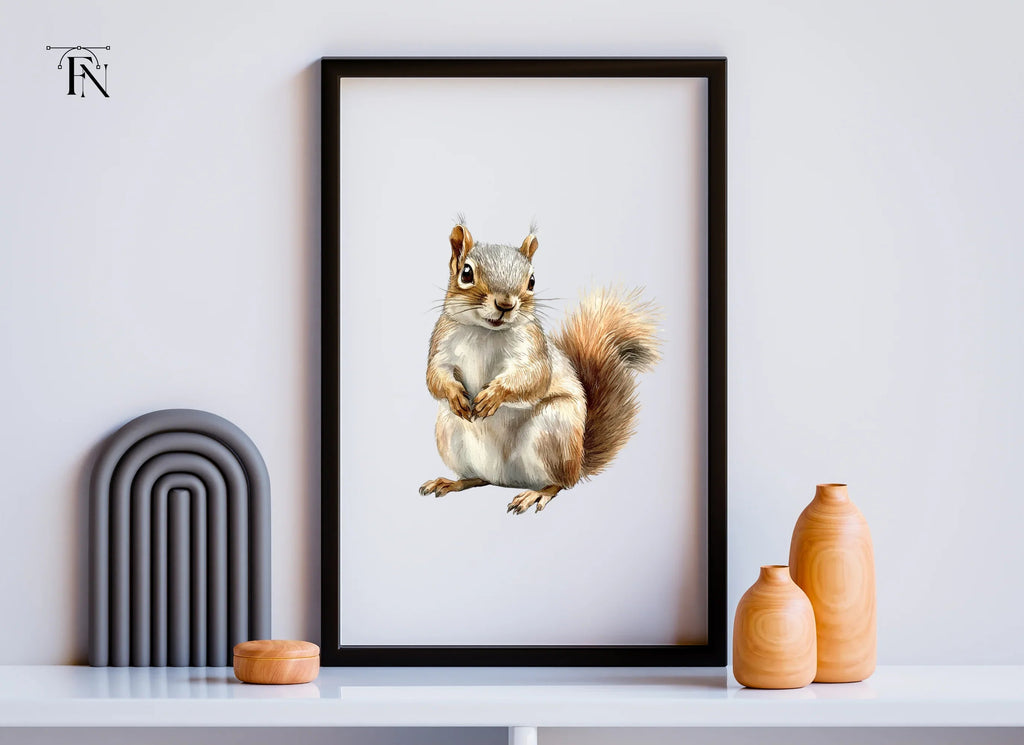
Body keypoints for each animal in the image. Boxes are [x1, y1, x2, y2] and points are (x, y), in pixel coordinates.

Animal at [419, 219, 661, 514]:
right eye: (466, 273)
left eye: (532, 281)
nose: (505, 304)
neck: (486, 331)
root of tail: (504, 479)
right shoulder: (441, 345)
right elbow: (435, 376)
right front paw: (455, 394)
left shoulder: (534, 348)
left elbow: (535, 377)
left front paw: (494, 396)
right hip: (449, 434)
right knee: (477, 478)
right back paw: (451, 482)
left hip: (553, 433)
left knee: (561, 483)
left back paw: (537, 494)